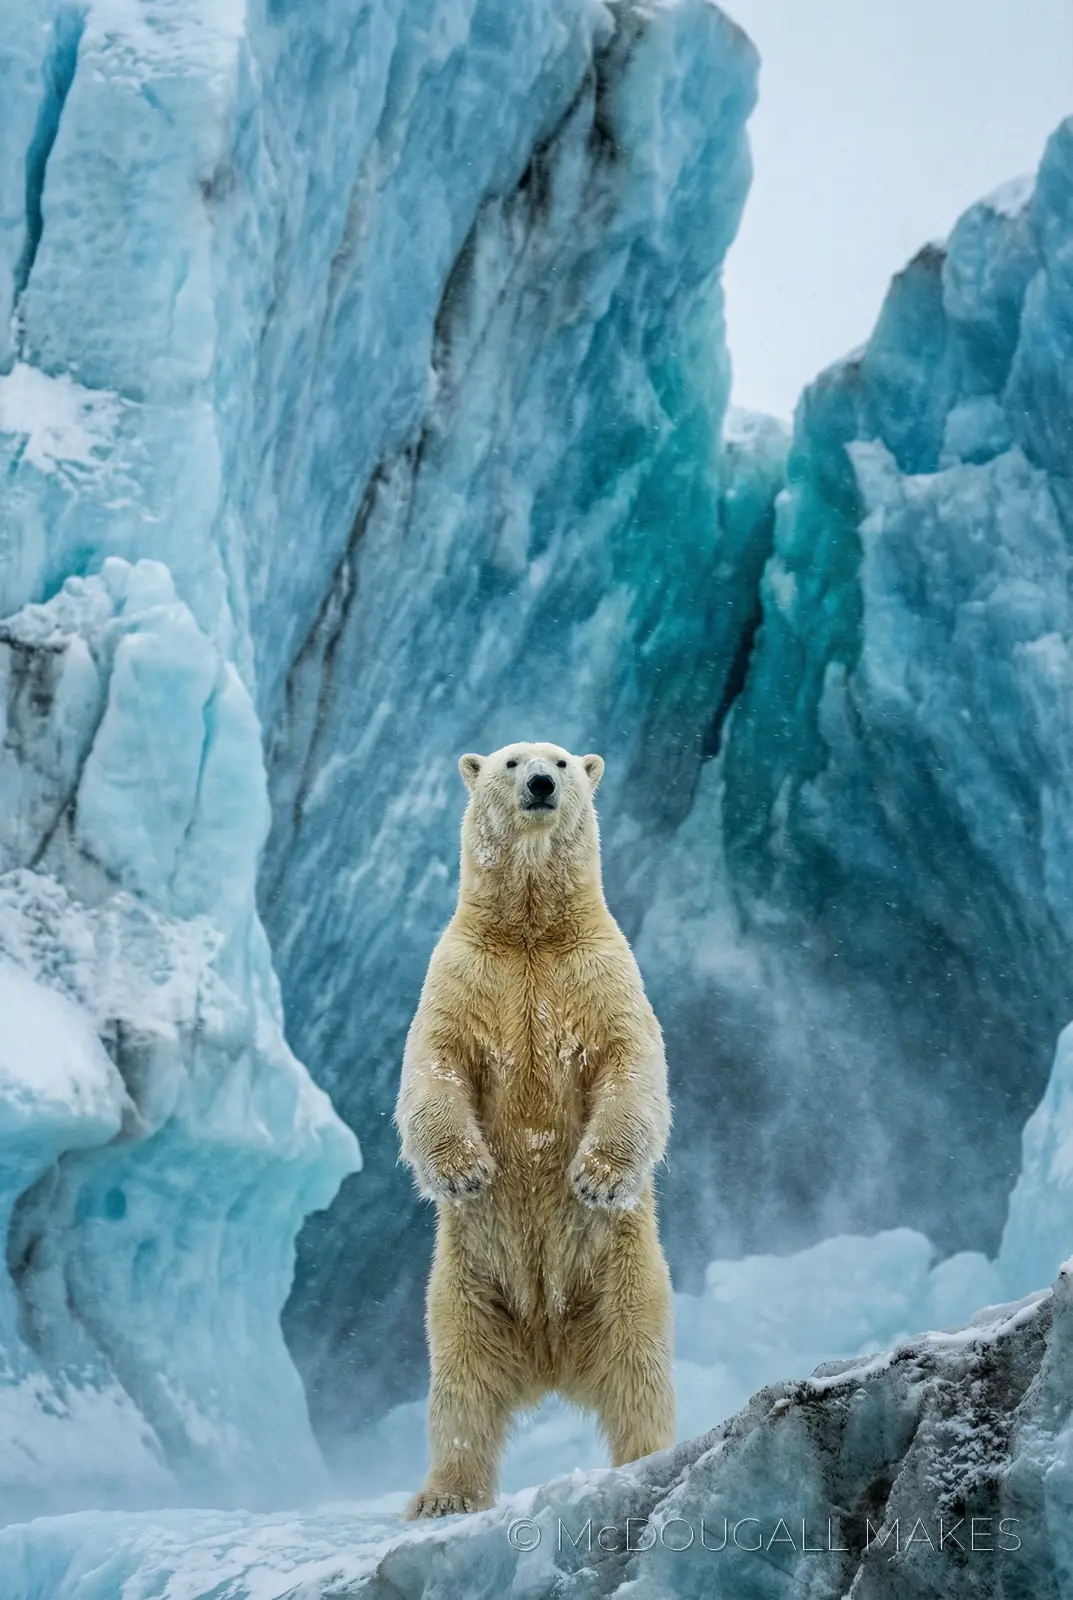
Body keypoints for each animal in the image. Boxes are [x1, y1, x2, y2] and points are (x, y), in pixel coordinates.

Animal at [395, 740, 675, 1518]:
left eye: (564, 761)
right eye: (511, 761)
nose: (544, 784)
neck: (529, 930)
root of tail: (549, 1356)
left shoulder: (600, 971)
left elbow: (630, 1062)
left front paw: (595, 1176)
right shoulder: (461, 972)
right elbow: (434, 1064)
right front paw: (466, 1169)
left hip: (623, 1273)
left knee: (638, 1368)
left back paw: (649, 1456)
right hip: (464, 1289)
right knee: (462, 1390)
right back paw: (443, 1496)